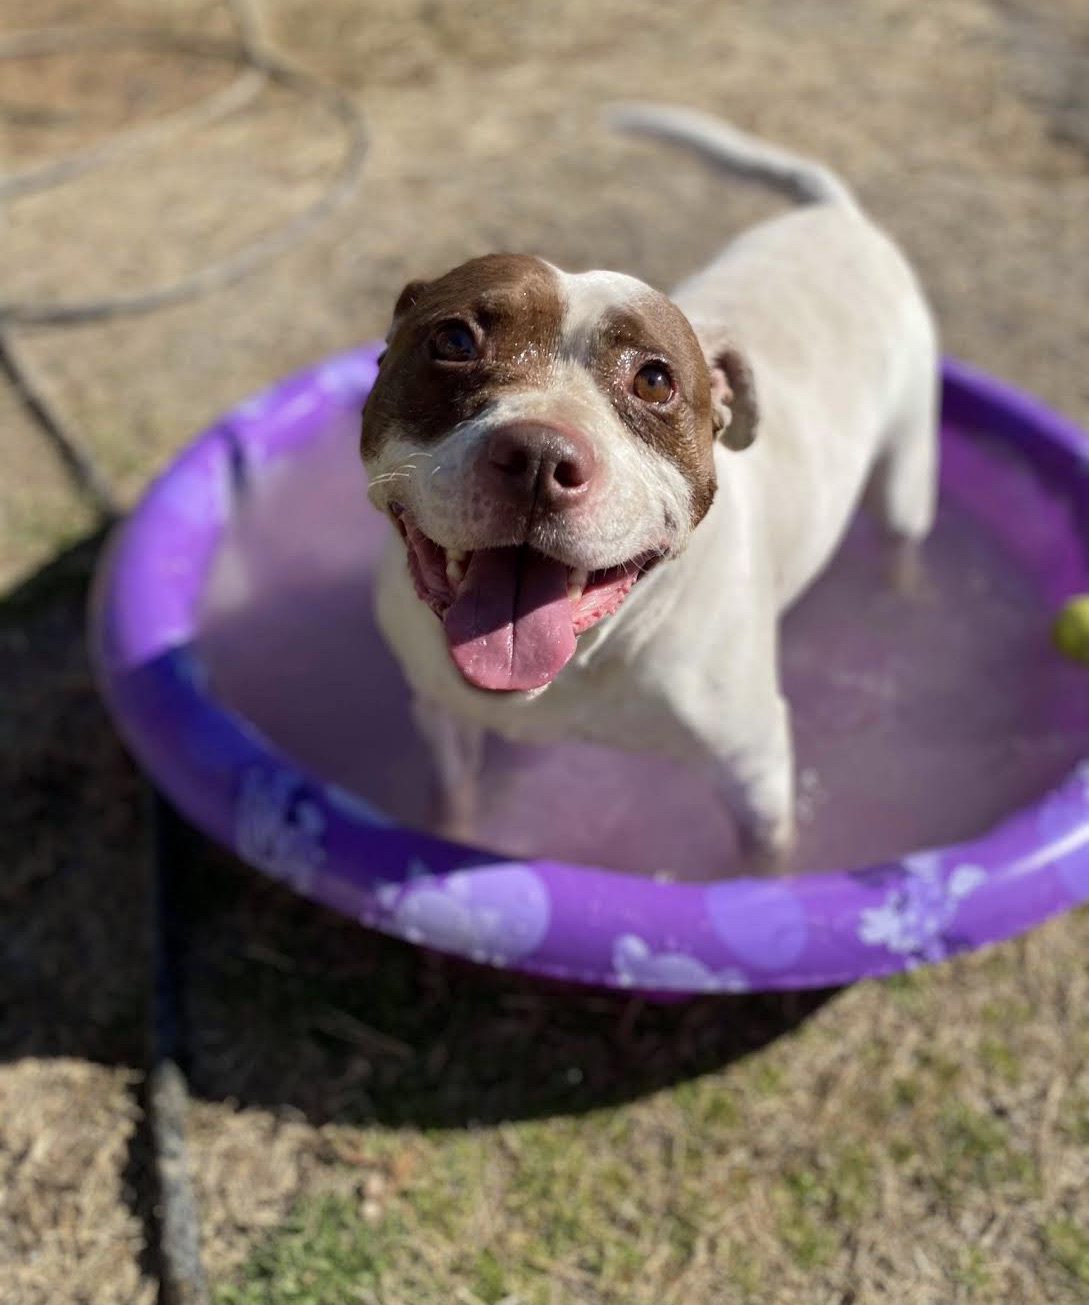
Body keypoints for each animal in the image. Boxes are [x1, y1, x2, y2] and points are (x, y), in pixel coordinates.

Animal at [355, 104, 934, 866]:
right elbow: (452, 799)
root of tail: (835, 215)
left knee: (900, 538)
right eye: (454, 341)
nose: (539, 456)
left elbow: (764, 866)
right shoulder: (440, 712)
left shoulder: (755, 772)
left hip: (906, 467)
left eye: (655, 380)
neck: (578, 663)